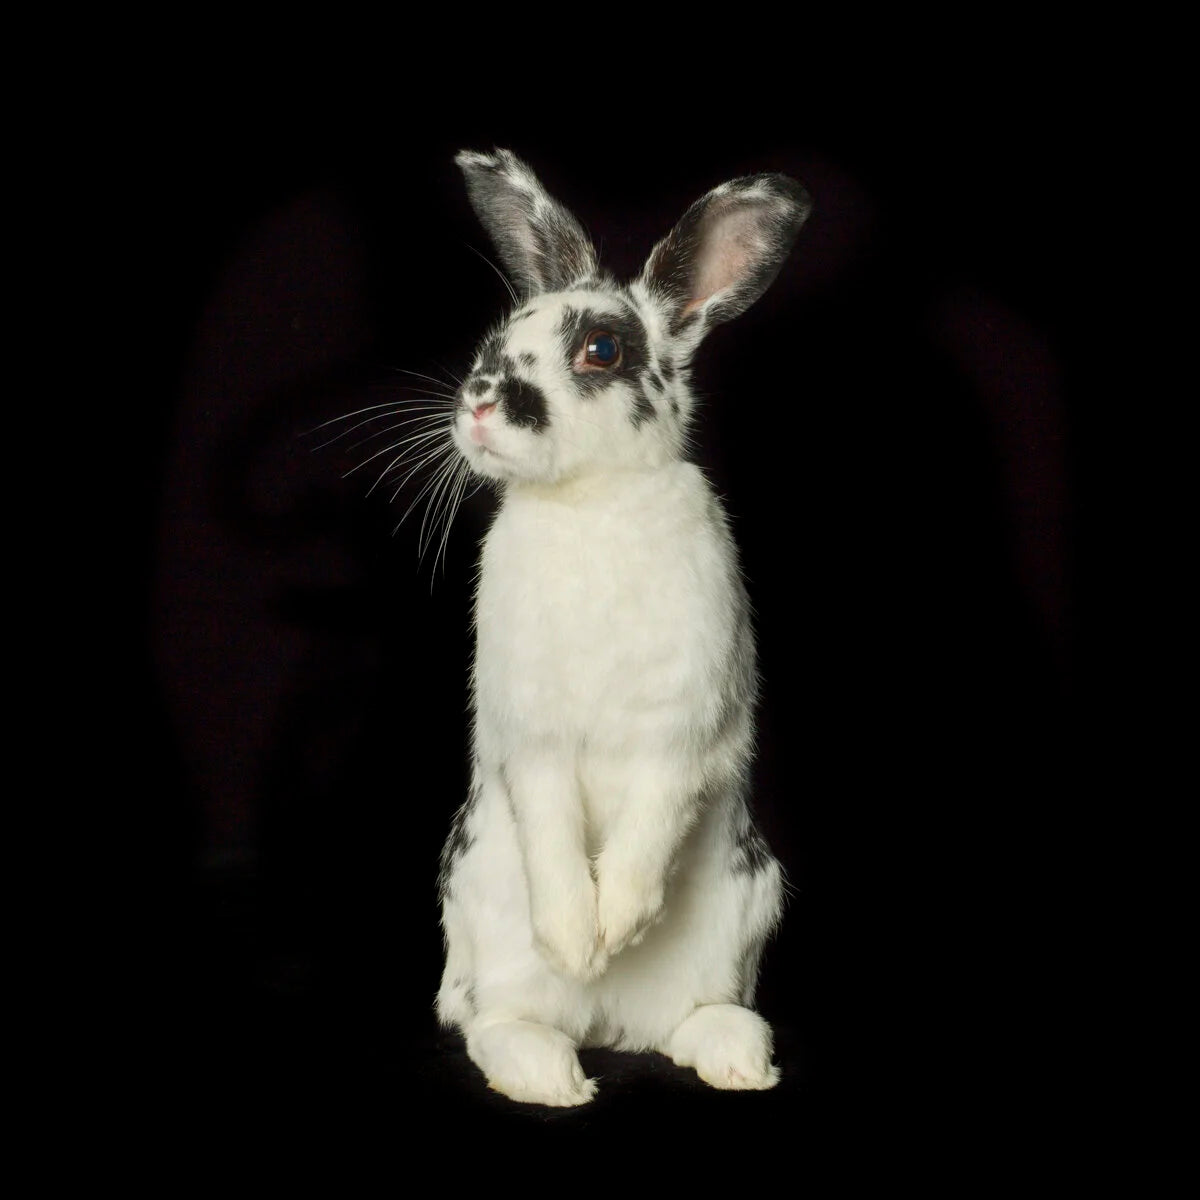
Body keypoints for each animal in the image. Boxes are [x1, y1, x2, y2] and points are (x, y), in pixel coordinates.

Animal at [434, 148, 811, 1106]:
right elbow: (553, 827)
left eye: (601, 349)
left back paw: (738, 1060)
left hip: (744, 905)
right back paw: (556, 1073)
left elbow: (651, 813)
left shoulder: (683, 723)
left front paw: (622, 921)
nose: (481, 401)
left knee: (699, 1015)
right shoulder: (531, 732)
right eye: (496, 342)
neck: (590, 501)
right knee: (496, 1023)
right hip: (483, 908)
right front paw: (580, 940)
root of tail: (607, 1025)